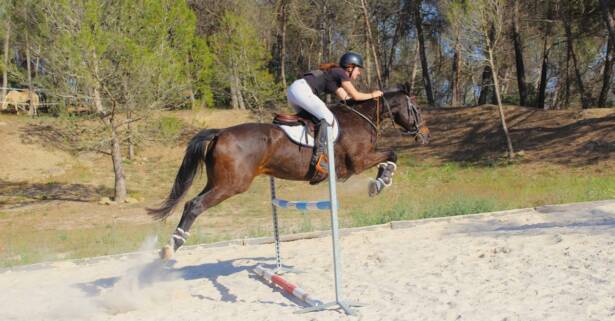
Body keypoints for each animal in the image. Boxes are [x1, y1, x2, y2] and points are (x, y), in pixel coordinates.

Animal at [148, 84, 434, 258]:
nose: (425, 136)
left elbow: (389, 156)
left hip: (218, 181)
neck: (360, 118)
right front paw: (380, 183)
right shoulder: (359, 161)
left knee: (191, 202)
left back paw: (174, 243)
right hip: (231, 185)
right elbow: (392, 155)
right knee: (195, 205)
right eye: (416, 109)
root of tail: (220, 133)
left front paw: (380, 180)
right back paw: (172, 246)